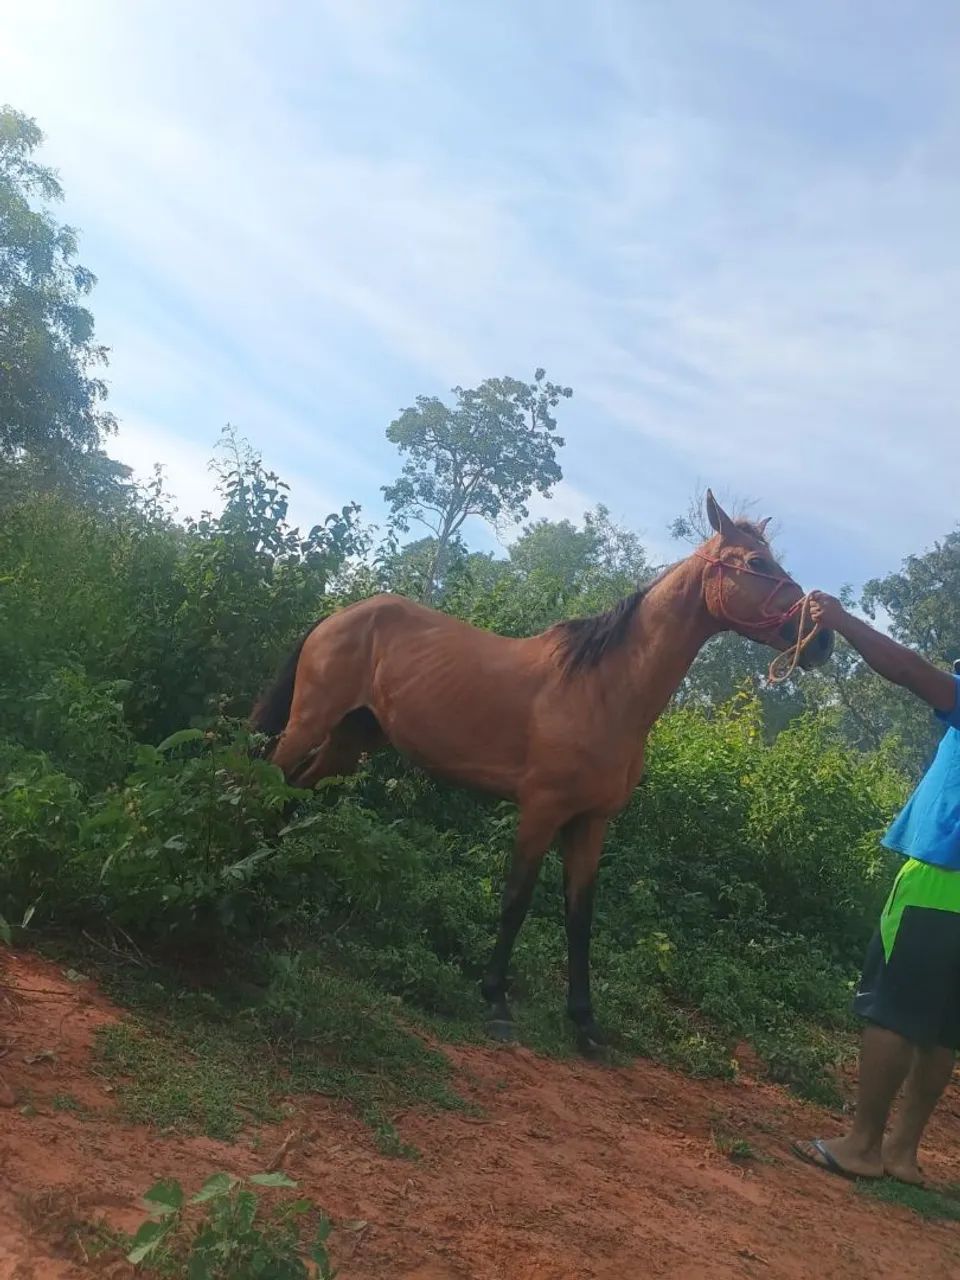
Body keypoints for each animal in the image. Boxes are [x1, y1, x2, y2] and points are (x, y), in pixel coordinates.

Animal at [252, 491, 834, 1052]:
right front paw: (496, 1001)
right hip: (309, 722)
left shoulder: (591, 823)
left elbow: (580, 918)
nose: (823, 641)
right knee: (267, 780)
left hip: (349, 743)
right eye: (757, 562)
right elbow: (516, 900)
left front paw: (585, 1022)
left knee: (292, 790)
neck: (603, 691)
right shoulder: (541, 810)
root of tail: (342, 614)